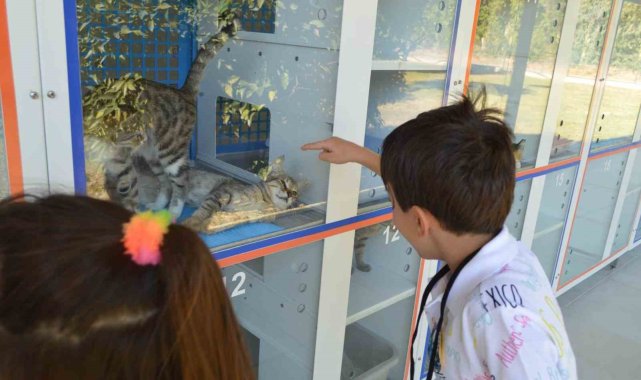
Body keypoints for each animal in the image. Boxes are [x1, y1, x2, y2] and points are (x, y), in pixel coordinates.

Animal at [97, 9, 240, 217]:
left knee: (181, 183)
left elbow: (128, 191)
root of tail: (182, 91)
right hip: (153, 155)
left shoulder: (122, 164)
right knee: (164, 182)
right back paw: (158, 205)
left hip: (171, 152)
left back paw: (173, 212)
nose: (139, 137)